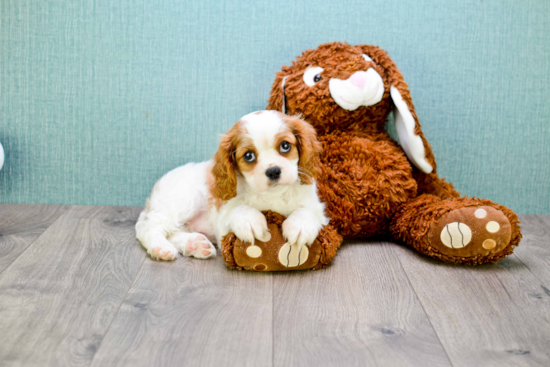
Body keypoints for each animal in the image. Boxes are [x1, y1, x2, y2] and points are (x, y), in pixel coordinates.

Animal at [136, 109, 330, 262]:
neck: (271, 195)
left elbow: (307, 211)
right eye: (249, 156)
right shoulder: (223, 221)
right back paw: (160, 247)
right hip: (181, 202)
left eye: (285, 146)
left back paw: (194, 244)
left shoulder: (317, 209)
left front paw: (300, 225)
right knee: (148, 227)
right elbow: (238, 210)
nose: (274, 171)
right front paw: (250, 220)